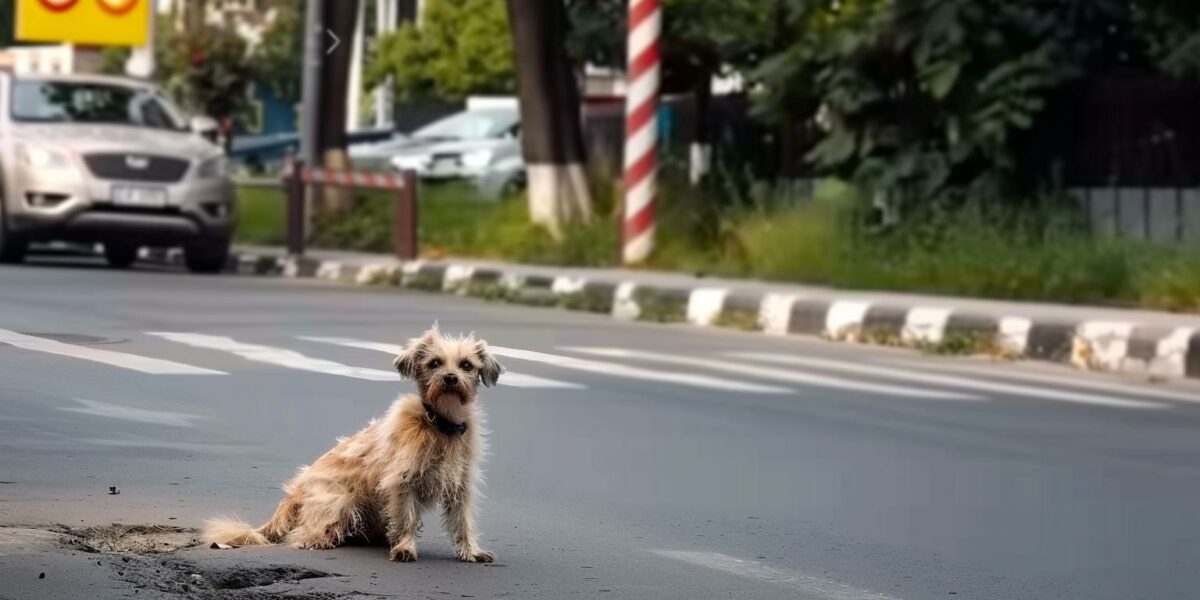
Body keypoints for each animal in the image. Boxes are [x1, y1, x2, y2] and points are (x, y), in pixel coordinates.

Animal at [205, 324, 501, 561]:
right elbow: (406, 519)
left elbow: (463, 523)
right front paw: (405, 548)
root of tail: (294, 495)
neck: (439, 424)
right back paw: (320, 540)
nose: (450, 378)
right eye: (434, 363)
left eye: (466, 365)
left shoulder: (460, 487)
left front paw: (471, 552)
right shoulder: (402, 483)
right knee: (303, 533)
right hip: (341, 501)